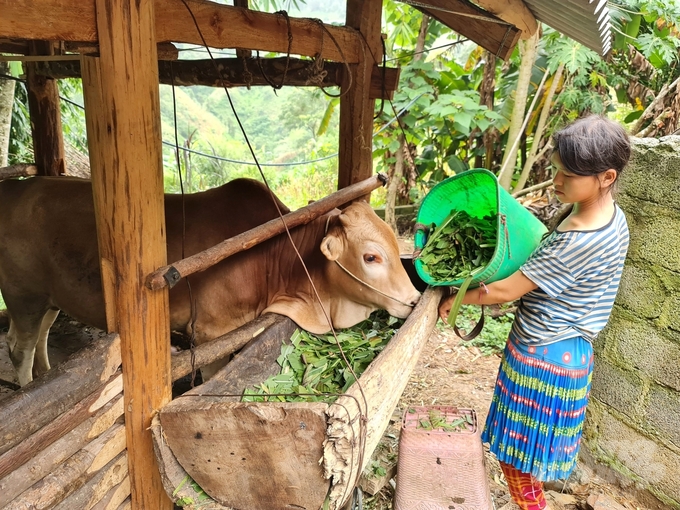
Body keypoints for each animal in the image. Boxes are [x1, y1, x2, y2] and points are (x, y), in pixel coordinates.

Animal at [0, 177, 422, 384]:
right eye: (371, 256)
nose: (414, 300)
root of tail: (16, 185)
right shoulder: (209, 335)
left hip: (51, 300)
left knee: (42, 336)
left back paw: (45, 375)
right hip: (24, 298)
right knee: (19, 348)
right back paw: (26, 386)